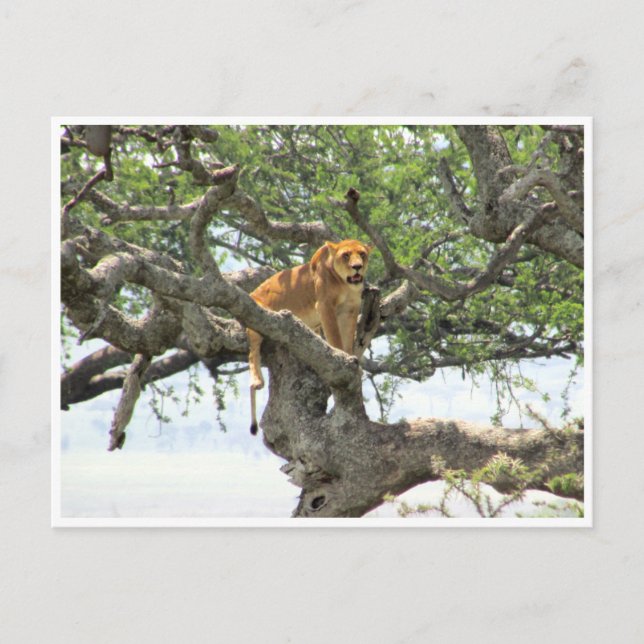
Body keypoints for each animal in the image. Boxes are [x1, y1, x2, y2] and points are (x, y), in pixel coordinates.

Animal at [247, 239, 372, 435]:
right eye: (345, 255)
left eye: (362, 254)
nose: (357, 267)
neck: (345, 284)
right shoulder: (324, 306)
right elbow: (335, 337)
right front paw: (341, 356)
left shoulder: (349, 310)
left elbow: (347, 339)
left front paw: (352, 361)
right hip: (256, 316)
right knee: (253, 352)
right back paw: (256, 381)